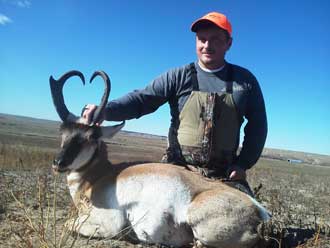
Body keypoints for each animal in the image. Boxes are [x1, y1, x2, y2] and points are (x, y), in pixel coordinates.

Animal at [49, 70, 270, 248]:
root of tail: (260, 213)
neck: (100, 176)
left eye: (91, 137)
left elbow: (68, 224)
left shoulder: (108, 223)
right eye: (62, 131)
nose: (59, 163)